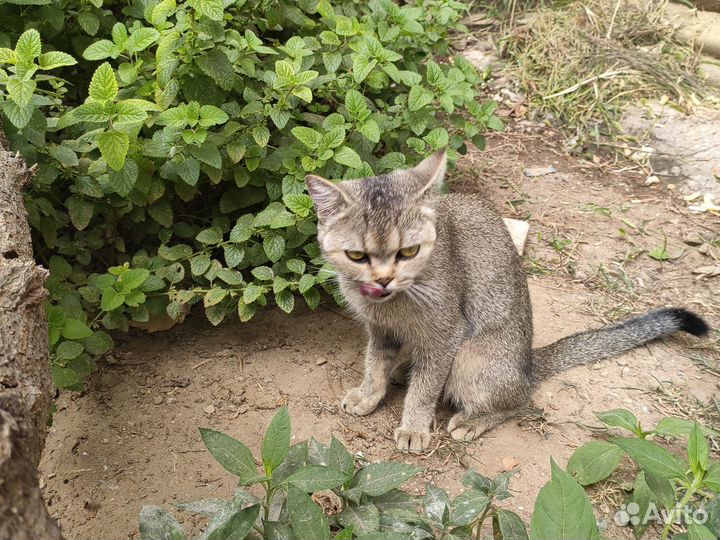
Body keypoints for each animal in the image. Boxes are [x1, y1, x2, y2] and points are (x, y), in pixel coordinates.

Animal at [306, 151, 708, 452]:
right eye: (356, 256)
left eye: (408, 251)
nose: (384, 280)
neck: (394, 302)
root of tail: (529, 362)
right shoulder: (381, 330)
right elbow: (375, 364)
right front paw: (369, 395)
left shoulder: (447, 335)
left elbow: (426, 388)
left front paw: (414, 428)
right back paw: (405, 371)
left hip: (471, 359)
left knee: (519, 401)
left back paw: (471, 421)